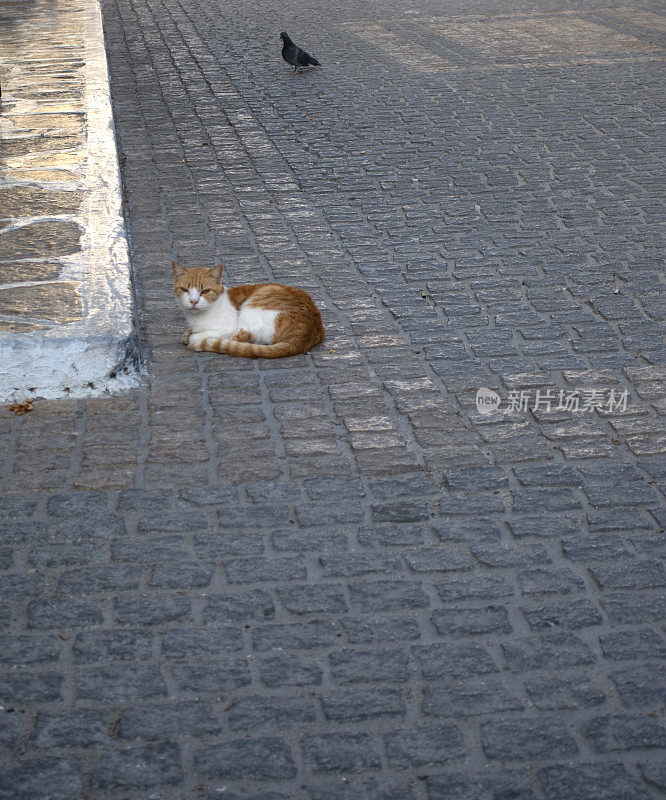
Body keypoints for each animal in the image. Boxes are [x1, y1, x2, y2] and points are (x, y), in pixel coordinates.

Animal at [172, 260, 326, 360]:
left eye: (205, 291)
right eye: (185, 290)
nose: (193, 301)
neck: (197, 318)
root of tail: (308, 331)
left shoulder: (228, 326)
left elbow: (202, 335)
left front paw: (194, 336)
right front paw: (188, 333)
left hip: (255, 304)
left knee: (241, 337)